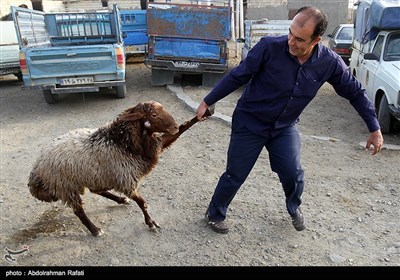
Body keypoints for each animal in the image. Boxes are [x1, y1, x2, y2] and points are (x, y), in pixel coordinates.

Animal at [28, 100, 214, 236]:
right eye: (154, 114)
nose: (173, 126)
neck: (123, 142)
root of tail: (36, 168)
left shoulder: (152, 148)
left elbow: (184, 128)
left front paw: (203, 113)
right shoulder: (126, 180)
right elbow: (143, 203)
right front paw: (151, 223)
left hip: (93, 175)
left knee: (97, 190)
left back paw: (119, 200)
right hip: (66, 186)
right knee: (78, 210)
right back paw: (95, 230)